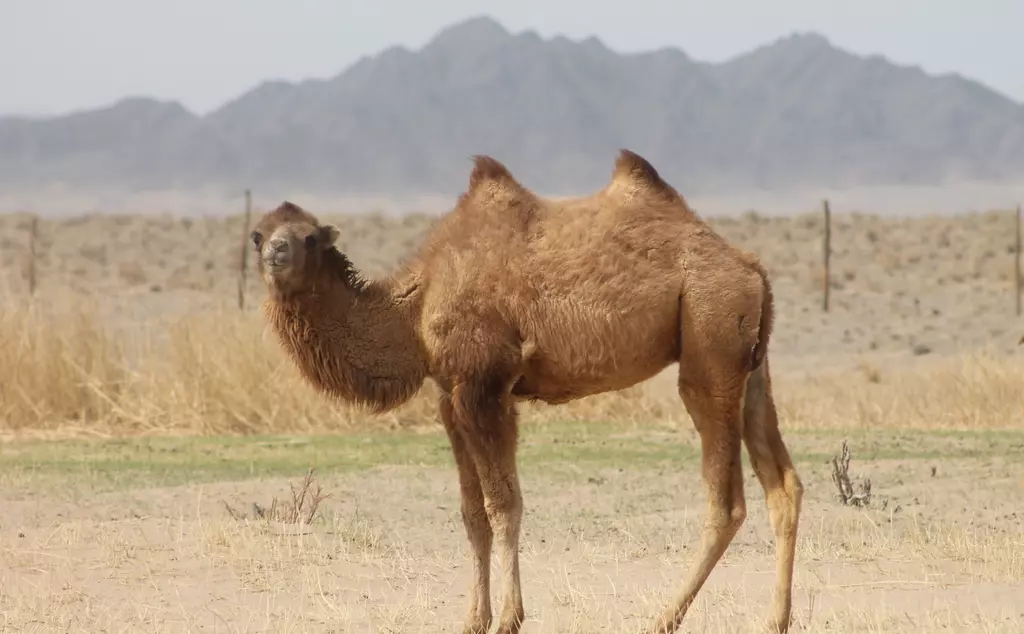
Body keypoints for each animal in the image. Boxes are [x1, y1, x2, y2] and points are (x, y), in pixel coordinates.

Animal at [250, 149, 804, 634]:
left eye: (310, 238)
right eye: (257, 235)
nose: (277, 253)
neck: (415, 306)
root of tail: (751, 266)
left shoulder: (486, 386)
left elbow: (504, 505)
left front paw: (508, 619)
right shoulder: (449, 396)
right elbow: (472, 512)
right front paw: (472, 620)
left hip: (710, 340)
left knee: (726, 500)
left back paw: (662, 619)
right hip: (750, 362)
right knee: (784, 485)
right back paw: (774, 620)